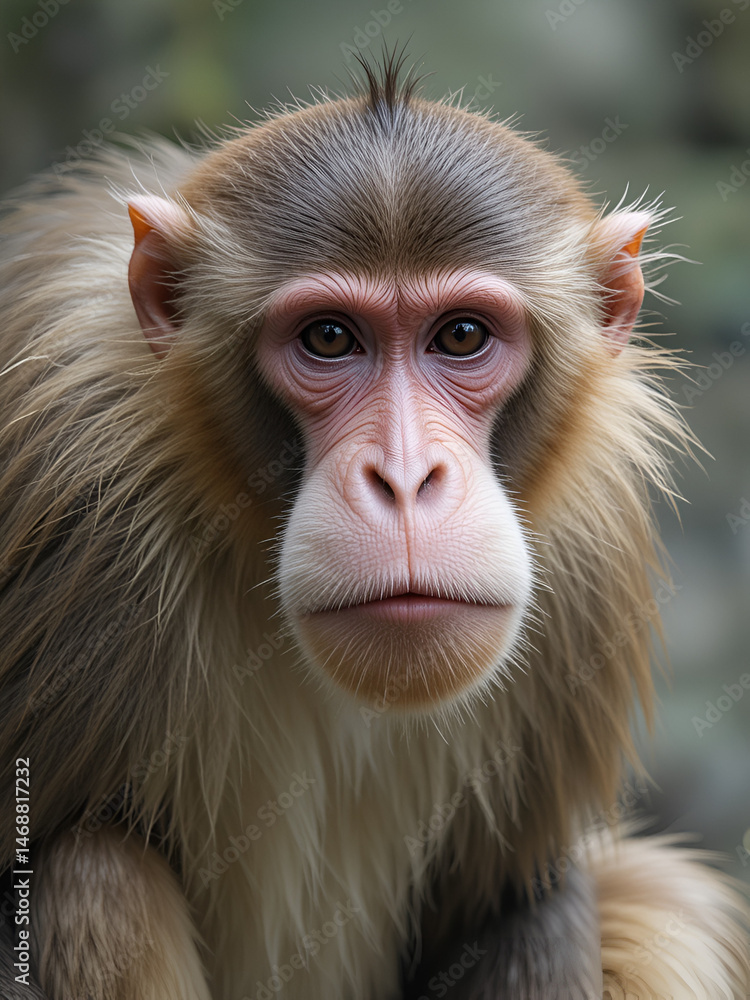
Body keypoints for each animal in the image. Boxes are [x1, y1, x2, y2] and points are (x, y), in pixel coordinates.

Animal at [0, 51, 748, 1000]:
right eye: (329, 338)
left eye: (461, 336)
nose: (403, 479)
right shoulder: (70, 485)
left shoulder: (588, 560)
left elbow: (515, 900)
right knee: (95, 873)